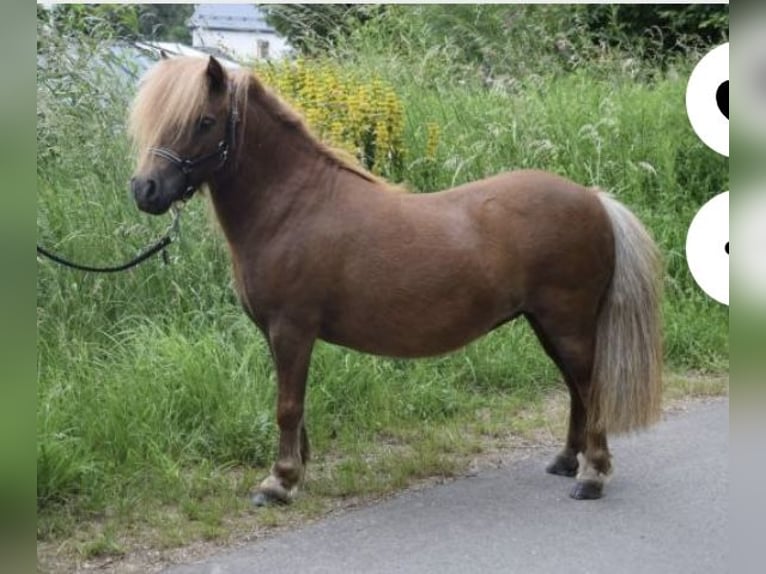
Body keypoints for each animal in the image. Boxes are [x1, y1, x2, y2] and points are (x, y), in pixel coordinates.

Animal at [129, 58, 664, 506]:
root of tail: (594, 199)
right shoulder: (278, 335)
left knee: (590, 386)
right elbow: (296, 407)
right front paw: (298, 469)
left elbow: (287, 406)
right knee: (576, 387)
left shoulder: (291, 330)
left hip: (567, 323)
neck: (293, 207)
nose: (145, 190)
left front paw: (278, 483)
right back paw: (567, 461)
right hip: (546, 324)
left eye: (203, 121)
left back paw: (592, 475)